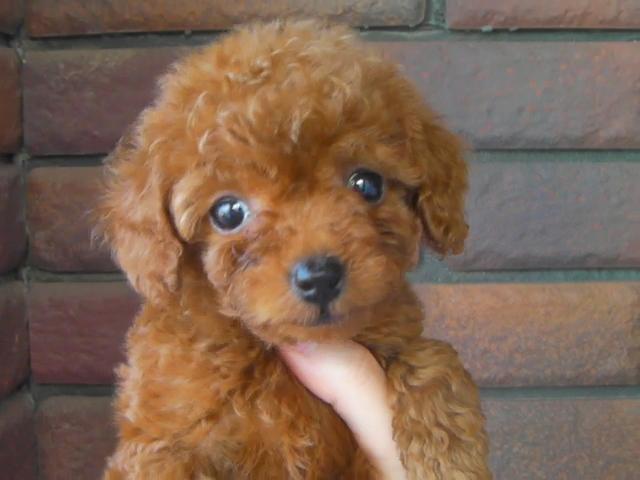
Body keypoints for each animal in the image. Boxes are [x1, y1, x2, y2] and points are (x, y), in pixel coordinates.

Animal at [98, 20, 490, 479]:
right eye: (228, 212)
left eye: (367, 183)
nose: (319, 277)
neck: (263, 350)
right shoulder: (163, 439)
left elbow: (430, 359)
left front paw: (448, 457)